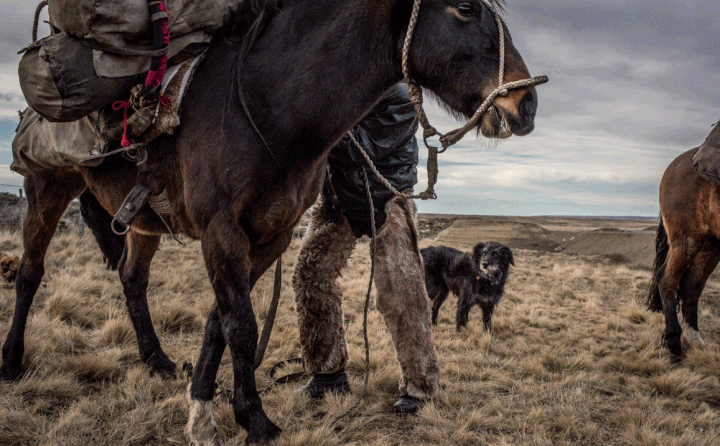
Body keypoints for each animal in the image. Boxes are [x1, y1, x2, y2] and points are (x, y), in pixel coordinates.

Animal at [0, 0, 540, 442]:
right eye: (465, 8)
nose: (527, 104)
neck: (269, 104)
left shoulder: (271, 236)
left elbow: (219, 320)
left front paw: (203, 405)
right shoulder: (221, 232)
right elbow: (240, 324)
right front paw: (253, 420)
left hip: (143, 219)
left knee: (133, 279)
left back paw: (157, 361)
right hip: (48, 187)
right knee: (30, 273)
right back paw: (11, 361)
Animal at [648, 122, 720, 358]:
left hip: (711, 244)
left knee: (692, 285)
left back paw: (694, 338)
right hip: (686, 241)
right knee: (667, 280)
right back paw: (673, 344)